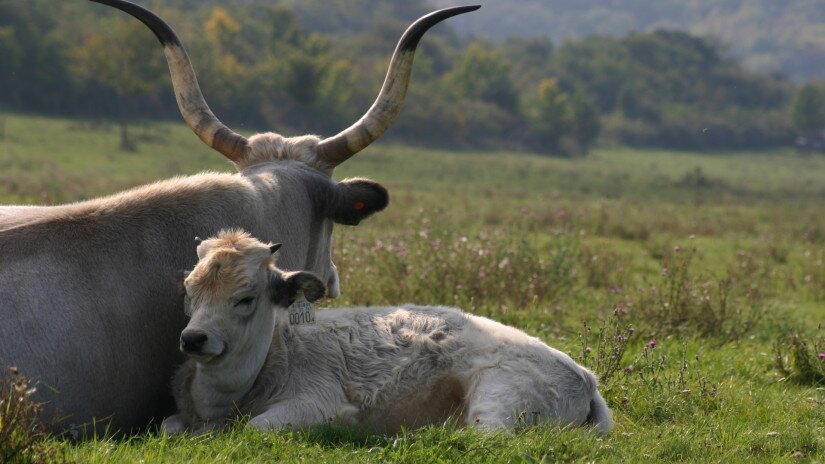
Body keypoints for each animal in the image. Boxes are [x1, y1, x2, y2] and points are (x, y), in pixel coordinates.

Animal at [163, 230, 612, 434]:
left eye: (245, 298)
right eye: (189, 290)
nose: (193, 339)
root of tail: (584, 375)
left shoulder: (318, 404)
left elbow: (255, 427)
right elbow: (169, 425)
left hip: (498, 400)